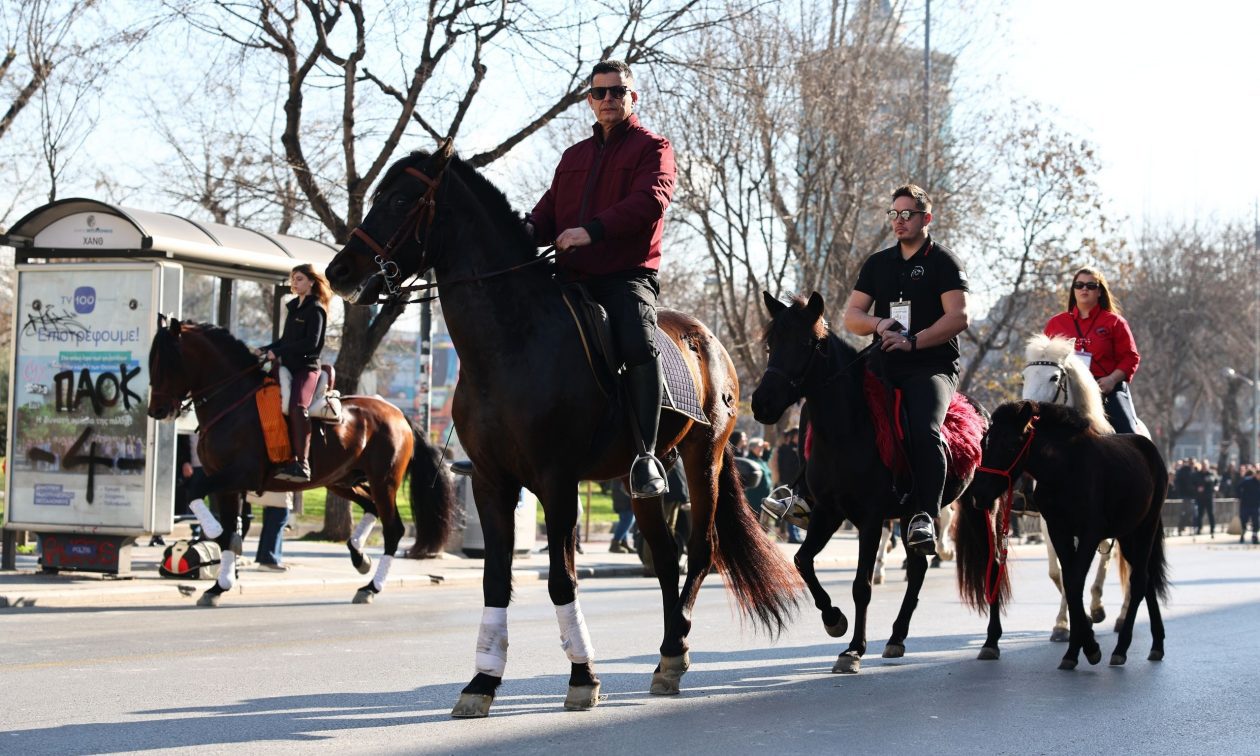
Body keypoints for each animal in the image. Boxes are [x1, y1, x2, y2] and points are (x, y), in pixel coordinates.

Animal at [146, 316, 458, 604]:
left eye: (167, 362)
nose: (156, 411)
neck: (233, 402)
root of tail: (398, 413)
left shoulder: (239, 475)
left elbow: (194, 492)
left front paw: (218, 542)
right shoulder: (226, 484)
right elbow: (223, 524)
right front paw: (219, 585)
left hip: (384, 482)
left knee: (393, 530)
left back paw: (370, 587)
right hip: (341, 480)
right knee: (370, 506)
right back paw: (359, 556)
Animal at [320, 143, 801, 720]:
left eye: (398, 199)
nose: (339, 270)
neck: (511, 342)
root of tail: (707, 337)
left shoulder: (556, 480)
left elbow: (560, 577)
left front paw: (582, 675)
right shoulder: (491, 481)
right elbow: (496, 579)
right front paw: (483, 681)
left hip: (701, 456)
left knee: (700, 551)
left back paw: (677, 643)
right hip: (643, 479)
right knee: (665, 557)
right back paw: (667, 654)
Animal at [745, 291, 982, 675]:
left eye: (806, 343)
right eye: (771, 344)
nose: (762, 403)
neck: (845, 431)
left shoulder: (870, 519)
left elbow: (861, 585)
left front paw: (854, 648)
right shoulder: (828, 512)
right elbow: (802, 561)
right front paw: (833, 619)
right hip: (907, 515)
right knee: (917, 566)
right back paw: (897, 636)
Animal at [962, 398, 1169, 670]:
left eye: (1010, 444)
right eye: (984, 441)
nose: (979, 494)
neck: (1063, 470)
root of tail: (1151, 450)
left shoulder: (1090, 533)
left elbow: (1073, 582)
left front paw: (1089, 647)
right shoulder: (1058, 530)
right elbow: (1070, 583)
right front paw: (1075, 648)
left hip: (1146, 526)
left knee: (1139, 580)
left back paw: (1122, 647)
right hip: (1127, 534)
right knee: (1146, 578)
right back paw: (1157, 644)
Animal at [1023, 335, 1144, 637]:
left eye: (1054, 377)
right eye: (1025, 375)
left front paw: (1090, 613)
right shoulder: (1049, 521)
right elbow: (1059, 571)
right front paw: (1064, 622)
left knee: (1120, 561)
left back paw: (1117, 614)